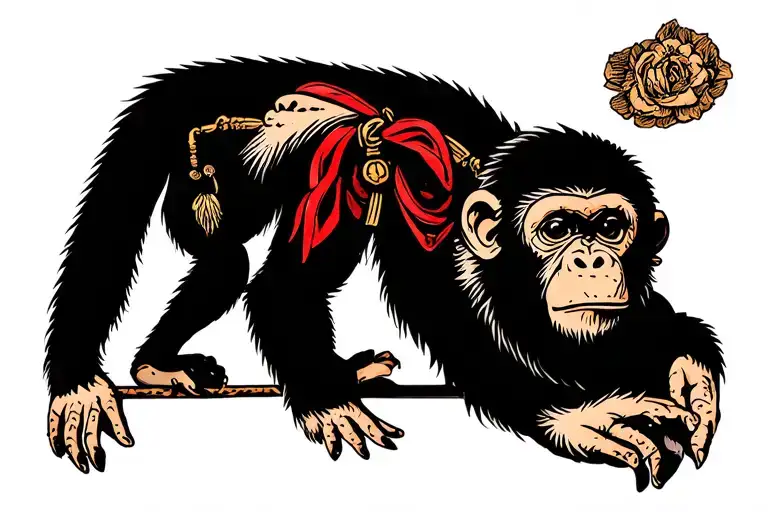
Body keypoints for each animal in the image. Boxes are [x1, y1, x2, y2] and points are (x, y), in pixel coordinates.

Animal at [45, 59, 723, 491]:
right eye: (558, 229)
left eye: (610, 226)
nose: (592, 260)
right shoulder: (426, 226)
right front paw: (578, 417)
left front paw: (688, 365)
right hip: (228, 166)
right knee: (224, 260)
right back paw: (145, 371)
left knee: (226, 265)